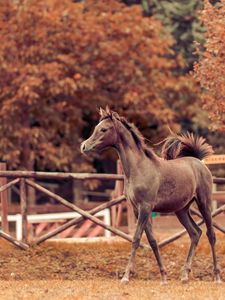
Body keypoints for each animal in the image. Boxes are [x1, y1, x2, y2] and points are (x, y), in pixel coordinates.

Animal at [80, 107, 221, 284]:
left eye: (103, 129)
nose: (84, 146)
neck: (139, 169)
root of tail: (198, 162)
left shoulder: (145, 208)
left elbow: (136, 239)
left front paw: (126, 277)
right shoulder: (138, 210)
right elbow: (152, 241)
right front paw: (163, 277)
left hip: (204, 204)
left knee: (211, 235)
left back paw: (217, 276)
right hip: (181, 210)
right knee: (195, 233)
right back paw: (184, 275)